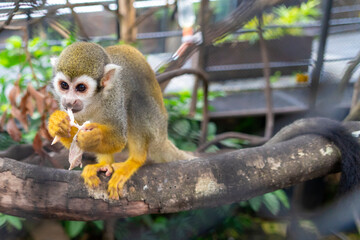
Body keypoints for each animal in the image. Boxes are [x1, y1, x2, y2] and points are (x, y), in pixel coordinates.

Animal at [48, 42, 194, 200]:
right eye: (64, 85)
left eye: (81, 87)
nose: (69, 101)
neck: (94, 101)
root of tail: (163, 137)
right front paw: (57, 124)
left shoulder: (115, 95)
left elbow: (118, 138)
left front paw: (92, 137)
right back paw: (104, 163)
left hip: (156, 127)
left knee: (136, 102)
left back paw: (135, 160)